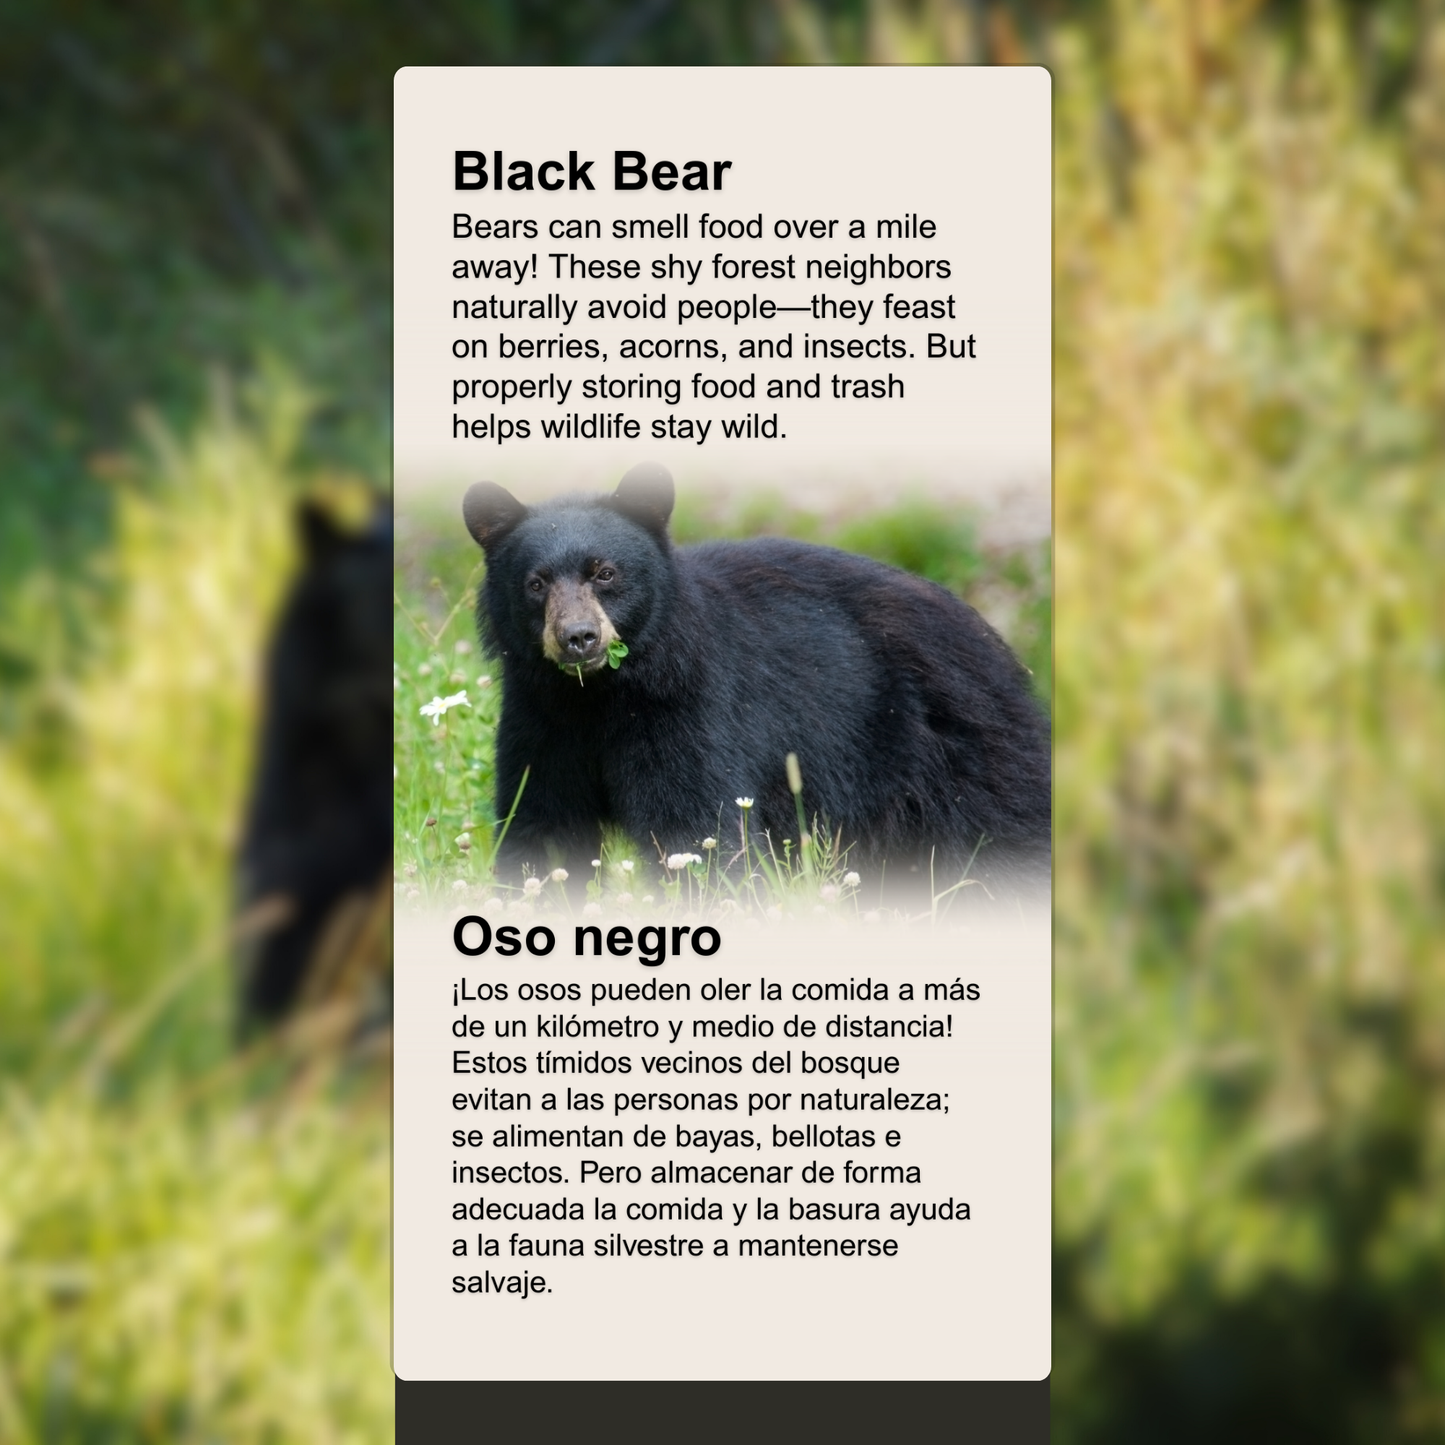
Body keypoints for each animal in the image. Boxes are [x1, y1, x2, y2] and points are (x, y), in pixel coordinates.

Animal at [463, 463, 1050, 898]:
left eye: (605, 573)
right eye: (536, 583)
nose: (579, 638)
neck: (601, 696)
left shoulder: (690, 709)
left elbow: (699, 827)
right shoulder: (540, 717)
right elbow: (541, 823)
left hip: (960, 756)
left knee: (1009, 834)